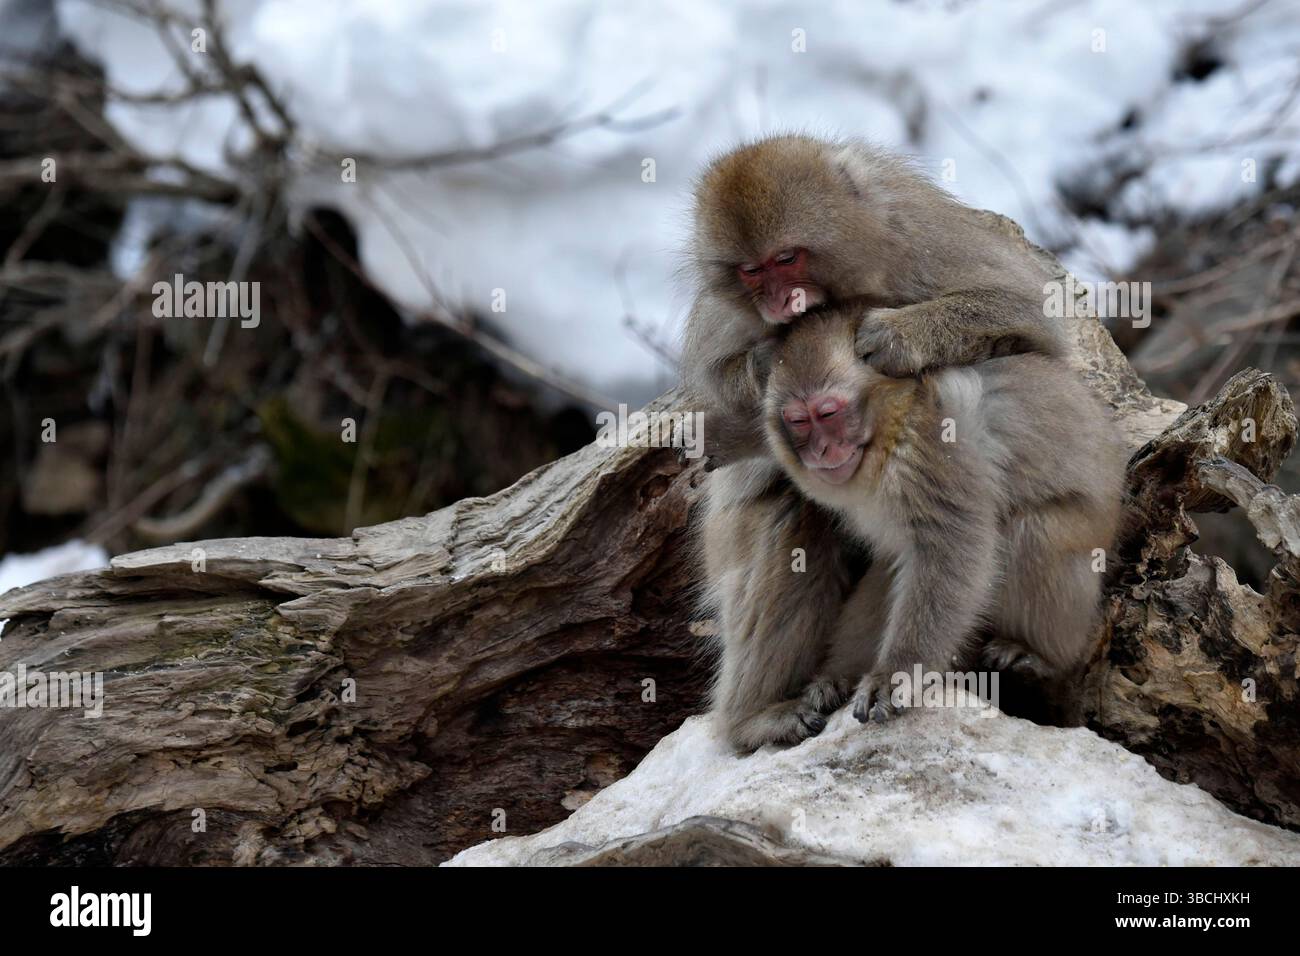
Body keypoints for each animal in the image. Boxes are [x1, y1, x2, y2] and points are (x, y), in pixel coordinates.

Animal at [683, 134, 1070, 751]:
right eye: (750, 271)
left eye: (787, 259)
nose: (781, 302)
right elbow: (720, 379)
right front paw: (763, 363)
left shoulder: (915, 235)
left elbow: (1031, 320)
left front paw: (901, 335)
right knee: (787, 515)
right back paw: (752, 718)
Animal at [759, 306, 1127, 728]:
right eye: (798, 421)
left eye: (828, 413)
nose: (819, 450)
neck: (889, 427)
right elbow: (897, 560)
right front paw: (839, 677)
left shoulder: (930, 450)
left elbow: (954, 549)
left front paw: (896, 675)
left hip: (1088, 535)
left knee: (1032, 531)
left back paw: (1040, 656)